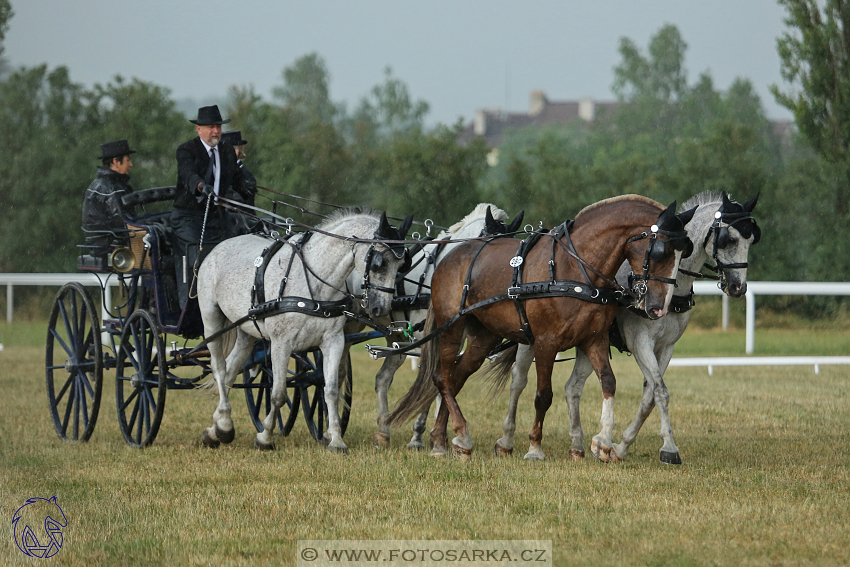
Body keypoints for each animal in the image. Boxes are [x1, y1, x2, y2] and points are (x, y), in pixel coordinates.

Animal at [199, 207, 410, 452]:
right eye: (379, 263)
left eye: (401, 265)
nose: (381, 307)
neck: (315, 285)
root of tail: (221, 245)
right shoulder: (280, 344)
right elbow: (278, 394)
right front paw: (265, 437)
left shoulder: (333, 342)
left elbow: (331, 389)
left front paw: (336, 440)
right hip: (211, 318)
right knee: (219, 367)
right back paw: (223, 425)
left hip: (246, 329)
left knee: (231, 368)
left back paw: (219, 426)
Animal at [390, 195, 696, 462]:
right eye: (660, 251)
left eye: (685, 251)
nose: (659, 307)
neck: (576, 268)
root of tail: (450, 257)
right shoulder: (546, 343)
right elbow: (543, 396)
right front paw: (535, 448)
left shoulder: (593, 340)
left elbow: (609, 383)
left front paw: (604, 443)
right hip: (452, 328)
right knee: (442, 378)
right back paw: (458, 435)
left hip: (483, 337)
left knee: (455, 379)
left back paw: (445, 440)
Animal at [494, 190, 760, 462]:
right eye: (729, 239)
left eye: (752, 239)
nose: (738, 287)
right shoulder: (640, 343)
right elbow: (660, 391)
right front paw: (668, 448)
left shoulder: (666, 348)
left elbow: (650, 396)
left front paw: (621, 446)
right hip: (533, 341)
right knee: (519, 381)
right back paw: (507, 440)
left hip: (587, 344)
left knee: (572, 387)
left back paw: (578, 444)